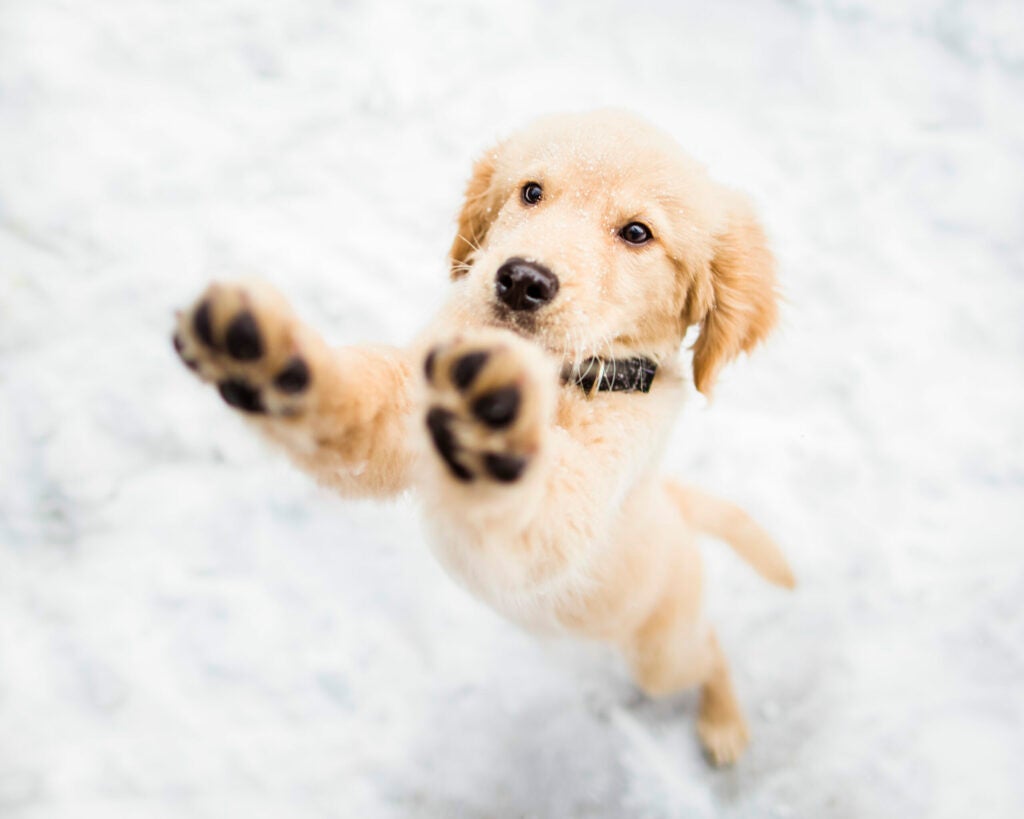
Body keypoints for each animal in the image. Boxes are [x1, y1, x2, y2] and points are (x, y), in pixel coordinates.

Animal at [169, 112, 790, 765]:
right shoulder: (404, 408)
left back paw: (724, 724)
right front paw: (268, 355)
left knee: (709, 650)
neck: (555, 374)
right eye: (531, 191)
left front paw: (492, 429)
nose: (521, 280)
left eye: (638, 233)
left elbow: (538, 503)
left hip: (660, 652)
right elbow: (361, 401)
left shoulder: (586, 493)